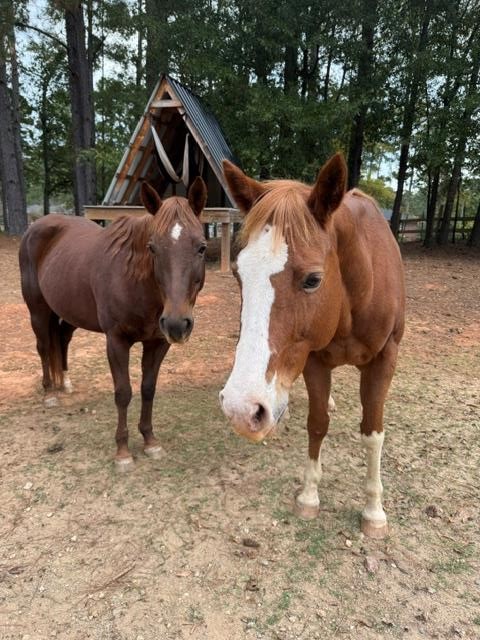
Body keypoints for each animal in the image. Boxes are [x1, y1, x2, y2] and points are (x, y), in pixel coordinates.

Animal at [19, 178, 207, 470]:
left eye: (201, 247)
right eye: (152, 247)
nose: (177, 324)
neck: (135, 283)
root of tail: (36, 226)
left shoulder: (157, 343)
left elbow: (148, 389)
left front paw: (150, 441)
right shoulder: (116, 341)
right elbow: (123, 392)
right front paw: (123, 452)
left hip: (70, 313)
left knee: (61, 340)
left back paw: (66, 383)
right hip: (38, 310)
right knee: (42, 347)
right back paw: (49, 393)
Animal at [219, 154, 405, 538]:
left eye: (313, 279)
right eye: (238, 274)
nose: (241, 410)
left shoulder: (384, 360)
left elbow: (373, 433)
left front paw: (374, 511)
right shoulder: (314, 360)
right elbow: (317, 424)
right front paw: (308, 496)